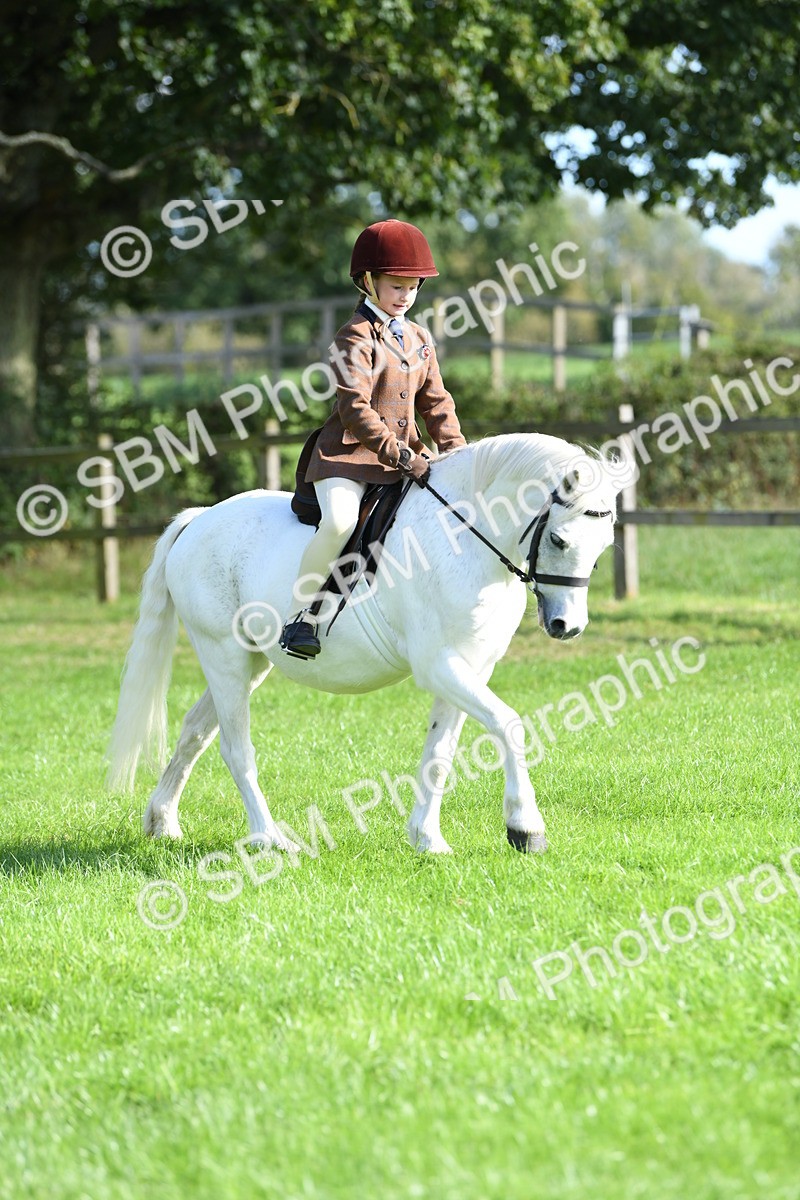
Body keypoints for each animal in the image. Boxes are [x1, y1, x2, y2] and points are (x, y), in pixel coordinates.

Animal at [106, 433, 620, 854]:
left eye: (602, 549)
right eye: (559, 539)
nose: (567, 625)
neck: (463, 537)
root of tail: (197, 521)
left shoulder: (471, 666)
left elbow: (440, 753)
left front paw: (428, 839)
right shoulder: (439, 665)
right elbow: (509, 724)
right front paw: (525, 828)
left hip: (248, 664)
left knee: (195, 731)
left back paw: (162, 823)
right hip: (224, 657)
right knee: (236, 749)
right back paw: (270, 839)